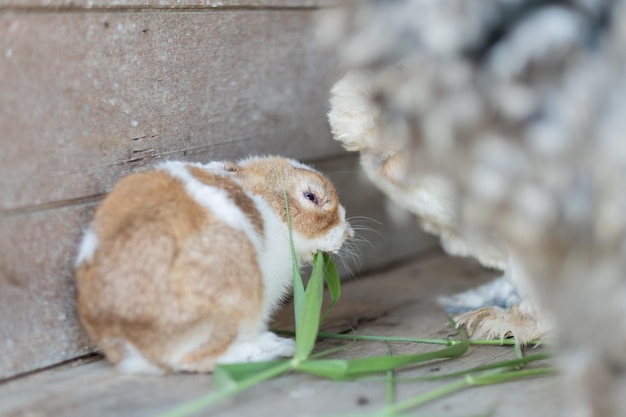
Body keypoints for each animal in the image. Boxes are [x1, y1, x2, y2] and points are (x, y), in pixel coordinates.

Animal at [73, 155, 352, 374]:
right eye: (311, 196)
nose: (347, 233)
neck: (266, 204)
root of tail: (129, 338)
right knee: (200, 359)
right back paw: (278, 348)